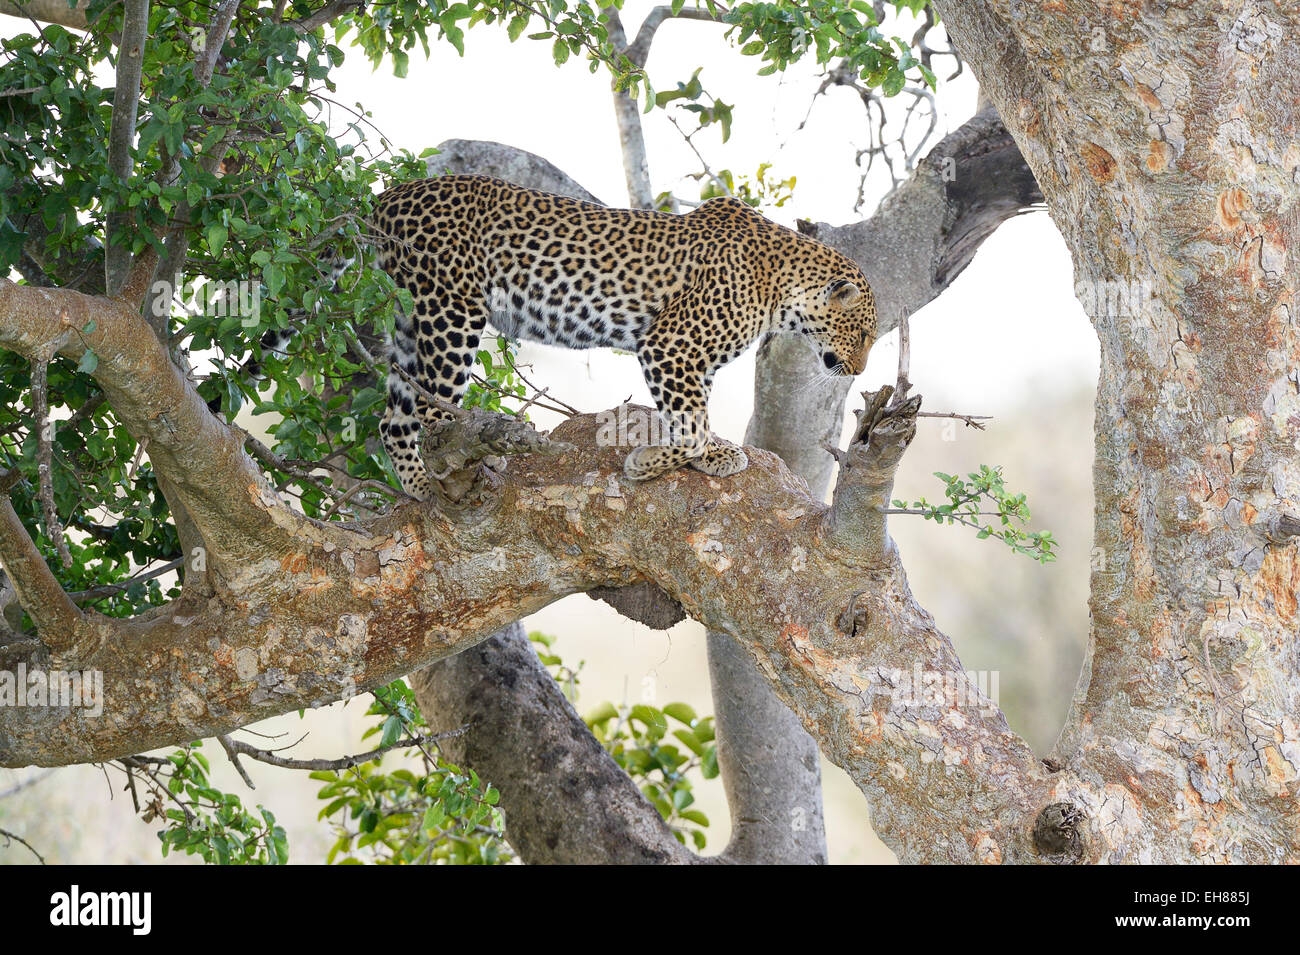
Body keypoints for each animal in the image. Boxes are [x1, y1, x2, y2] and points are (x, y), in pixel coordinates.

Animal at [366, 175, 878, 501]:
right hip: (451, 311)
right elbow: (692, 426)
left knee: (393, 418)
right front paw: (650, 463)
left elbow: (694, 417)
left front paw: (712, 455)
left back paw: (417, 485)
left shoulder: (695, 360)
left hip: (408, 319)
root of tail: (387, 198)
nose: (858, 370)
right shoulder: (671, 344)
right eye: (863, 333)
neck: (782, 289)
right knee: (432, 409)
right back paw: (467, 464)